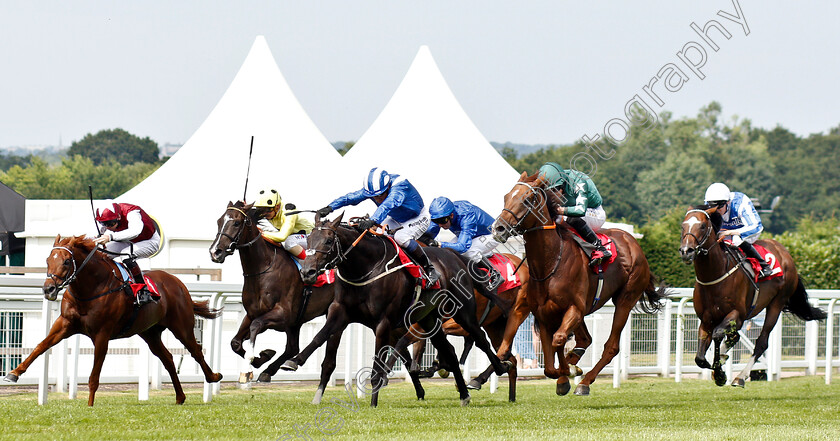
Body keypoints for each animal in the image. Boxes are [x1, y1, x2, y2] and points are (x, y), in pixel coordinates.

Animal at [4, 235, 220, 404]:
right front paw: (14, 373)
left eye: (66, 261)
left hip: (181, 326)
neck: (91, 288)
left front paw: (90, 405)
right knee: (167, 358)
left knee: (195, 351)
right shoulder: (64, 324)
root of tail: (177, 282)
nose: (48, 289)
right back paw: (180, 397)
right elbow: (40, 346)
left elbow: (94, 376)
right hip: (149, 333)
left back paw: (213, 376)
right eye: (48, 259)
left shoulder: (102, 334)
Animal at [207, 201, 334, 386]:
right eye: (219, 221)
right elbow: (235, 342)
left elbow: (256, 326)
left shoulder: (282, 314)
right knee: (292, 347)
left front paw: (250, 366)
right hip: (296, 322)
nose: (215, 252)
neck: (263, 268)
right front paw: (261, 358)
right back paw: (270, 371)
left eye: (236, 223)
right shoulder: (252, 313)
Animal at [282, 213, 508, 406]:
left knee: (480, 337)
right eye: (309, 239)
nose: (308, 272)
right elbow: (320, 336)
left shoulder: (383, 322)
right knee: (450, 353)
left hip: (463, 312)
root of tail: (455, 256)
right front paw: (293, 361)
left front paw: (373, 403)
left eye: (329, 241)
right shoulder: (341, 311)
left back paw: (497, 368)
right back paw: (464, 395)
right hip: (428, 319)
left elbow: (378, 365)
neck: (365, 268)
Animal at [488, 172, 668, 396]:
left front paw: (567, 373)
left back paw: (584, 382)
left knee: (611, 346)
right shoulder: (543, 313)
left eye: (527, 199)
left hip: (625, 300)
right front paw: (564, 375)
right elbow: (549, 361)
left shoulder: (574, 307)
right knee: (585, 339)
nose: (498, 228)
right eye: (506, 196)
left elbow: (558, 340)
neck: (550, 263)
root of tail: (634, 244)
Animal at [680, 205, 824, 384]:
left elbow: (718, 334)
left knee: (761, 343)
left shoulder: (737, 314)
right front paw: (717, 365)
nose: (686, 251)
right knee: (736, 338)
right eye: (682, 226)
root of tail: (785, 253)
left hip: (776, 304)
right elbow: (700, 358)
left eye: (702, 226)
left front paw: (719, 373)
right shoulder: (707, 319)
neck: (715, 276)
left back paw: (740, 377)